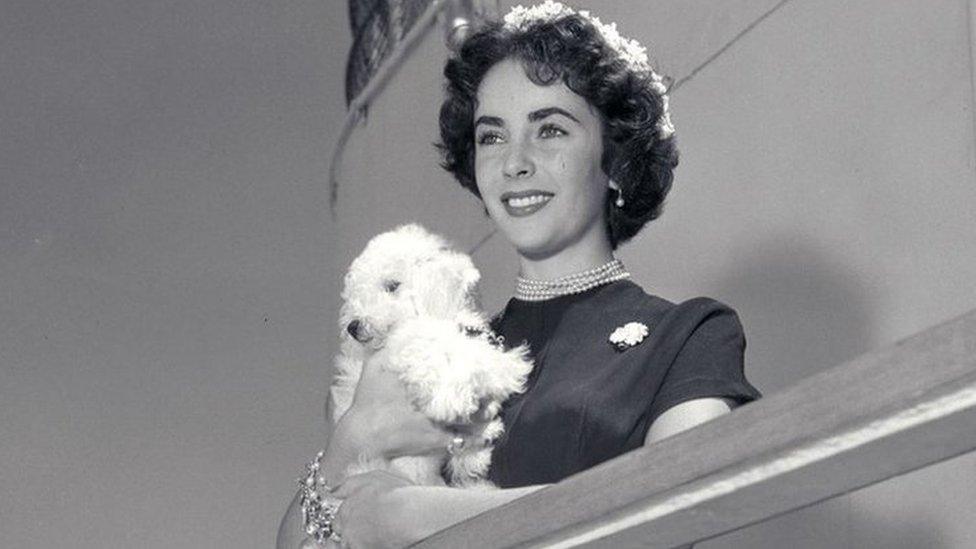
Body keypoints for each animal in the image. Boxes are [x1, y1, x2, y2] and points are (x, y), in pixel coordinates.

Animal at [330, 225, 532, 486]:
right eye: (356, 294)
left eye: (392, 286)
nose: (352, 327)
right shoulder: (403, 347)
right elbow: (429, 352)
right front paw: (452, 399)